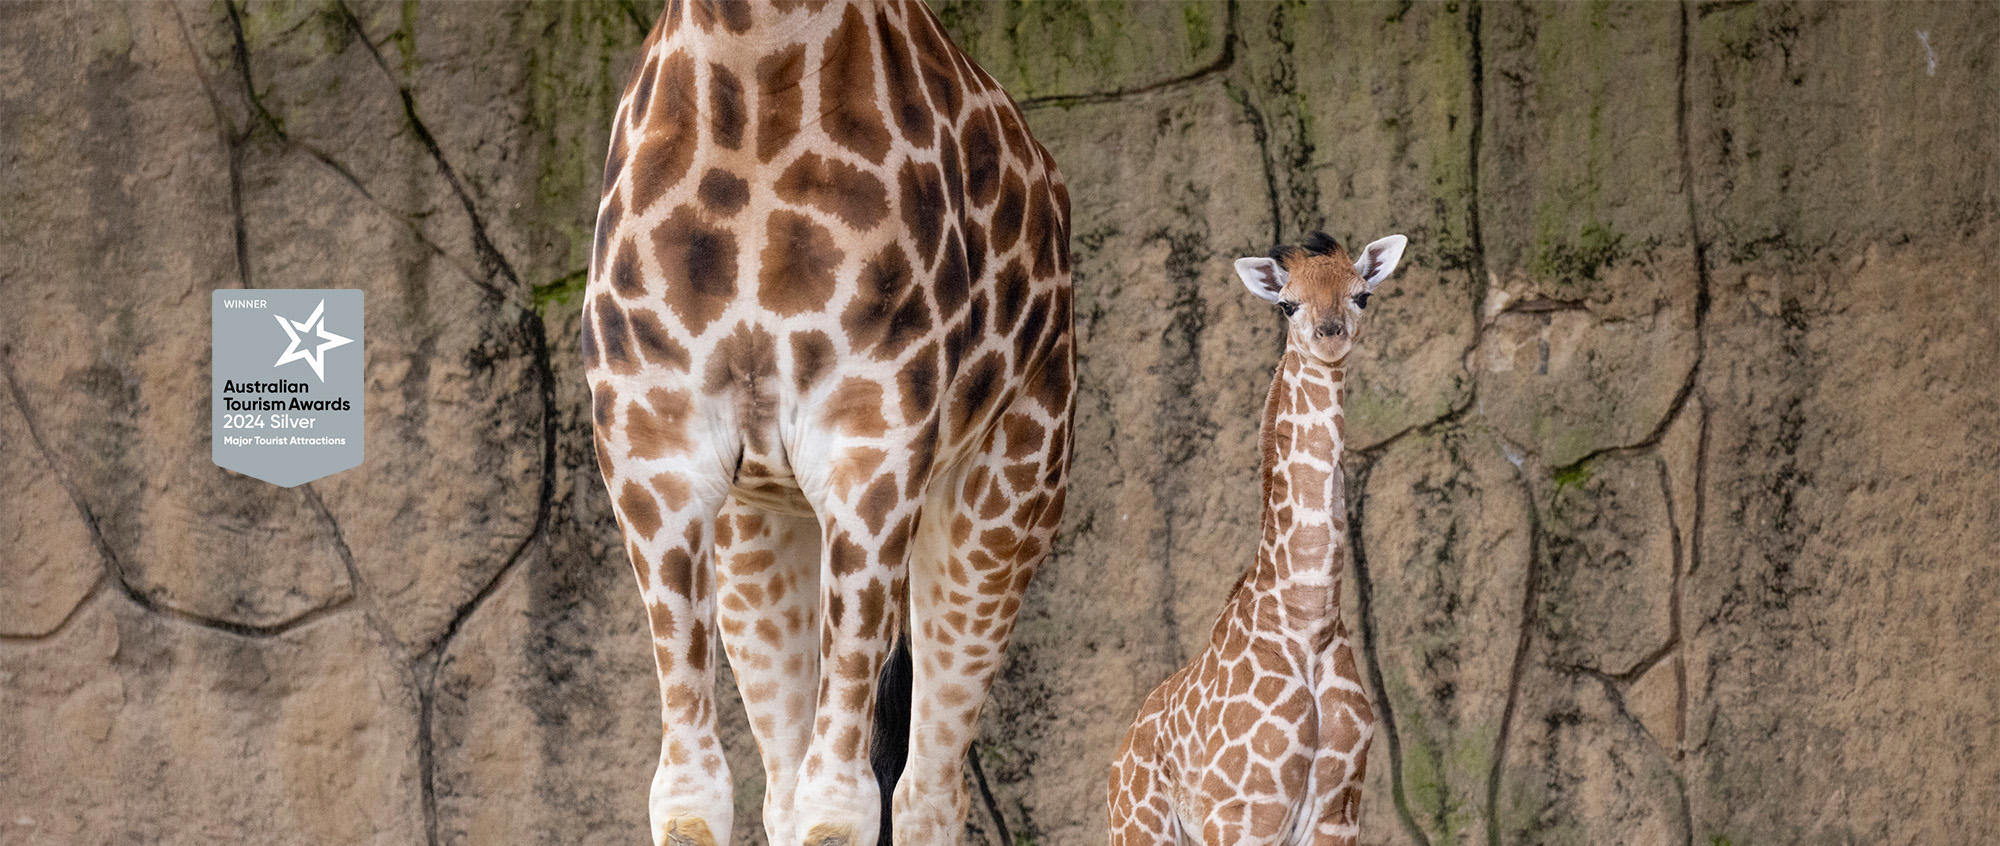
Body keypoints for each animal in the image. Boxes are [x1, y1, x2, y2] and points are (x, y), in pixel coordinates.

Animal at [583, 1, 1072, 844]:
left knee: (928, 791)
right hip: (755, 529)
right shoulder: (650, 447)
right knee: (787, 784)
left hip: (1008, 495)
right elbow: (690, 796)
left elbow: (838, 804)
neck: (750, 59)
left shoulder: (874, 447)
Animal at [1106, 231, 1408, 846]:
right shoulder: (1243, 812)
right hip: (1141, 829)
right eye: (1287, 305)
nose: (1330, 335)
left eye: (1362, 295)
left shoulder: (1338, 812)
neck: (1307, 619)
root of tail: (1118, 760)